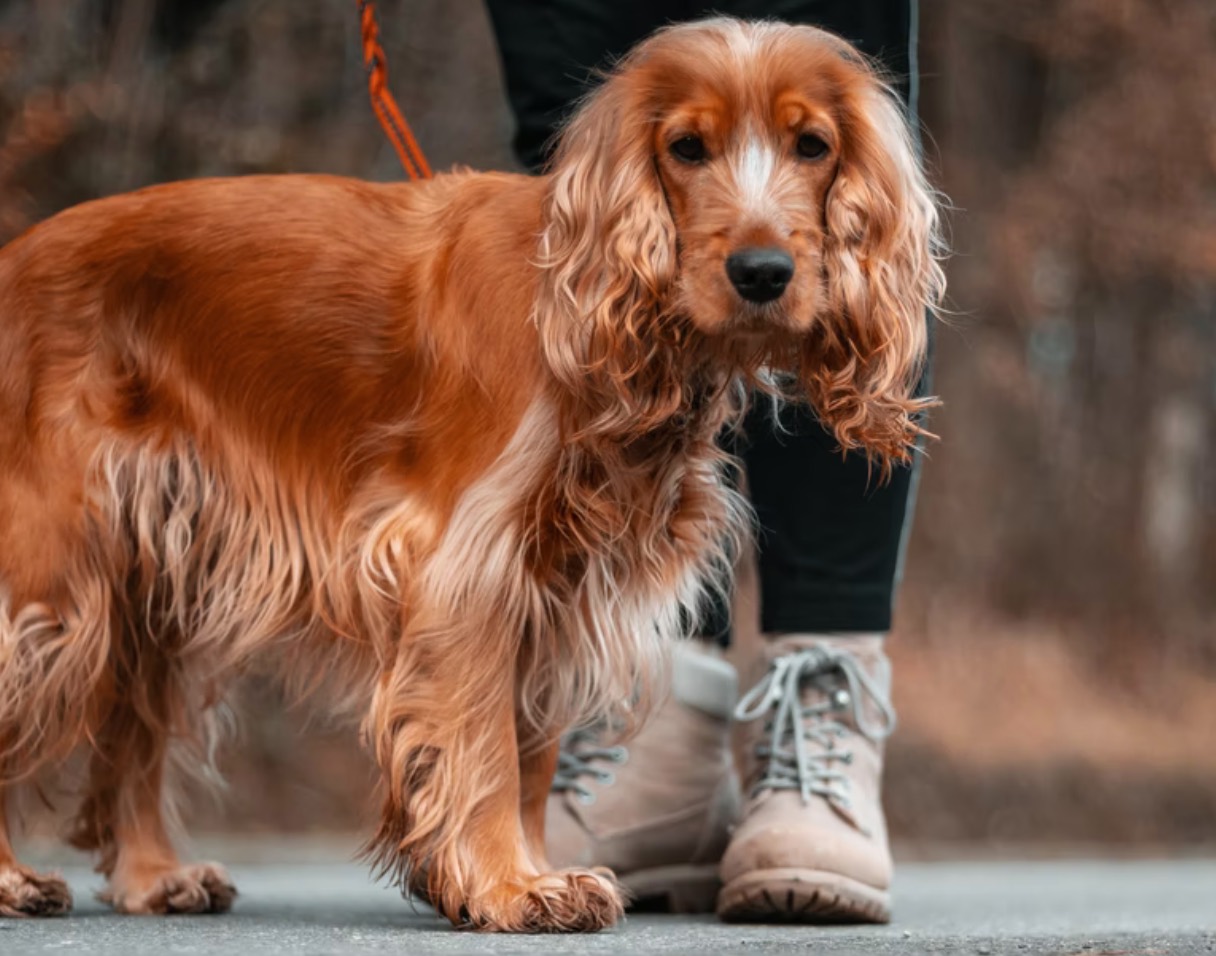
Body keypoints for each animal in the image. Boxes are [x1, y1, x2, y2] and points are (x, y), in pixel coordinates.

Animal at [0, 20, 938, 929]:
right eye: (686, 147)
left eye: (812, 145)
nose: (763, 273)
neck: (578, 300)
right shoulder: (468, 563)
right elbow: (485, 746)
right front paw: (509, 887)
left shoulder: (557, 580)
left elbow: (530, 758)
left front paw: (525, 872)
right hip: (53, 572)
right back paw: (16, 877)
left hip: (154, 570)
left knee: (134, 724)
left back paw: (153, 875)